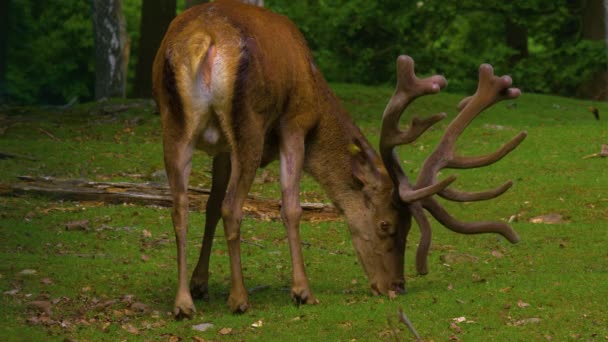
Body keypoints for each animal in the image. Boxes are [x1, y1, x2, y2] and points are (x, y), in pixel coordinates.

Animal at [153, 0, 528, 320]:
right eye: (386, 224)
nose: (397, 286)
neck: (316, 91)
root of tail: (205, 39)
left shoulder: (223, 149)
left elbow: (210, 206)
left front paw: (200, 284)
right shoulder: (295, 122)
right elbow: (291, 208)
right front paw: (302, 291)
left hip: (174, 124)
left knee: (180, 206)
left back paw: (183, 303)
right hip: (250, 122)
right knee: (233, 206)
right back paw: (240, 299)